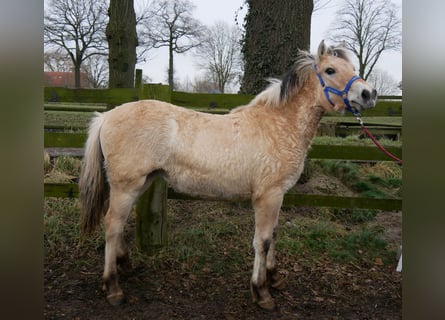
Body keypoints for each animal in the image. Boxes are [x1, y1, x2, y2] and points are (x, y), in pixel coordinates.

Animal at [79, 40, 374, 310]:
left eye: (352, 68)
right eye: (330, 70)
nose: (368, 93)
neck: (278, 126)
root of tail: (106, 116)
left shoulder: (278, 196)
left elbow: (274, 234)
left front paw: (275, 278)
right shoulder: (268, 196)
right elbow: (263, 241)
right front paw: (261, 291)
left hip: (139, 183)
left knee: (117, 225)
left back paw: (126, 265)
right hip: (126, 186)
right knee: (112, 224)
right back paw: (113, 288)